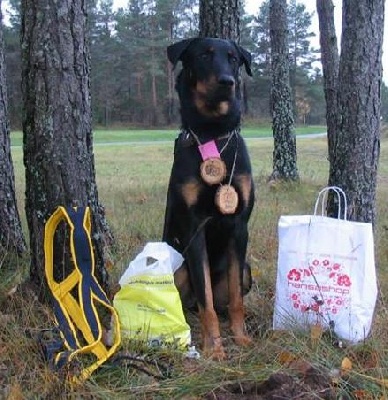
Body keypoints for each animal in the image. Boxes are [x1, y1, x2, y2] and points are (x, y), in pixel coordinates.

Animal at [163, 37, 255, 360]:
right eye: (204, 55)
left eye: (233, 58)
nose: (227, 82)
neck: (212, 133)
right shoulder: (195, 227)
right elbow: (206, 304)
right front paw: (214, 347)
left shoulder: (239, 225)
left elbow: (237, 302)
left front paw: (241, 338)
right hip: (178, 269)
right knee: (192, 302)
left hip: (246, 270)